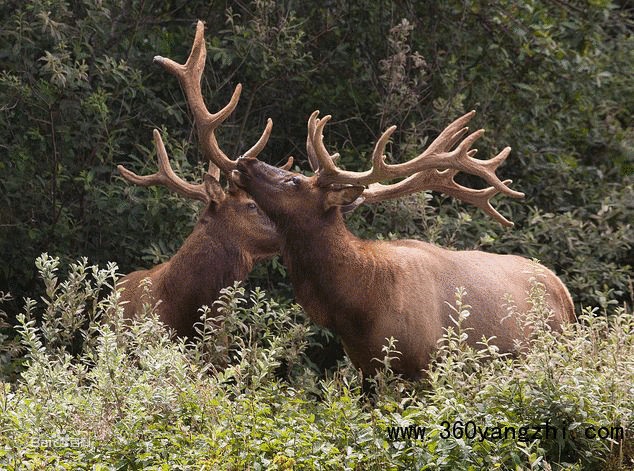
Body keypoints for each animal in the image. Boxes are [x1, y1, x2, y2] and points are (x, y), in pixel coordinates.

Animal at [231, 109, 572, 380]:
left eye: (294, 181)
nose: (245, 160)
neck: (358, 306)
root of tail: (564, 292)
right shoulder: (366, 369)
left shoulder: (428, 365)